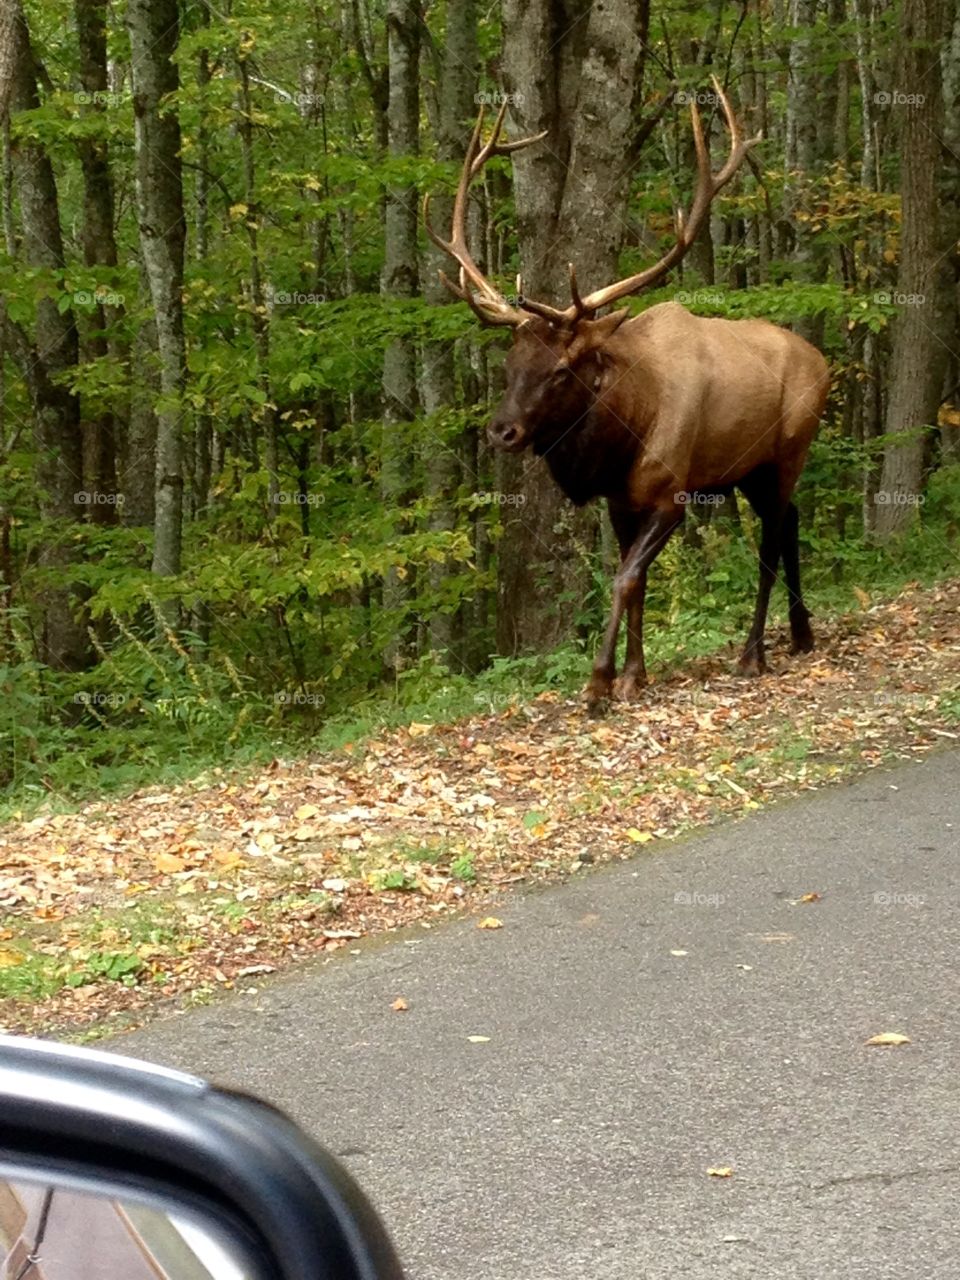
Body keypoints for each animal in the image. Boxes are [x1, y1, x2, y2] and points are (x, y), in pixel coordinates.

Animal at [424, 82, 829, 711]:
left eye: (561, 370)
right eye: (510, 366)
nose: (502, 430)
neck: (626, 432)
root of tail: (826, 362)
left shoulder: (670, 495)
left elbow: (624, 579)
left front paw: (599, 682)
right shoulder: (620, 500)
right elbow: (635, 582)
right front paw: (636, 674)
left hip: (790, 450)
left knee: (768, 541)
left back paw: (752, 654)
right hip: (751, 469)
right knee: (789, 520)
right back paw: (802, 633)